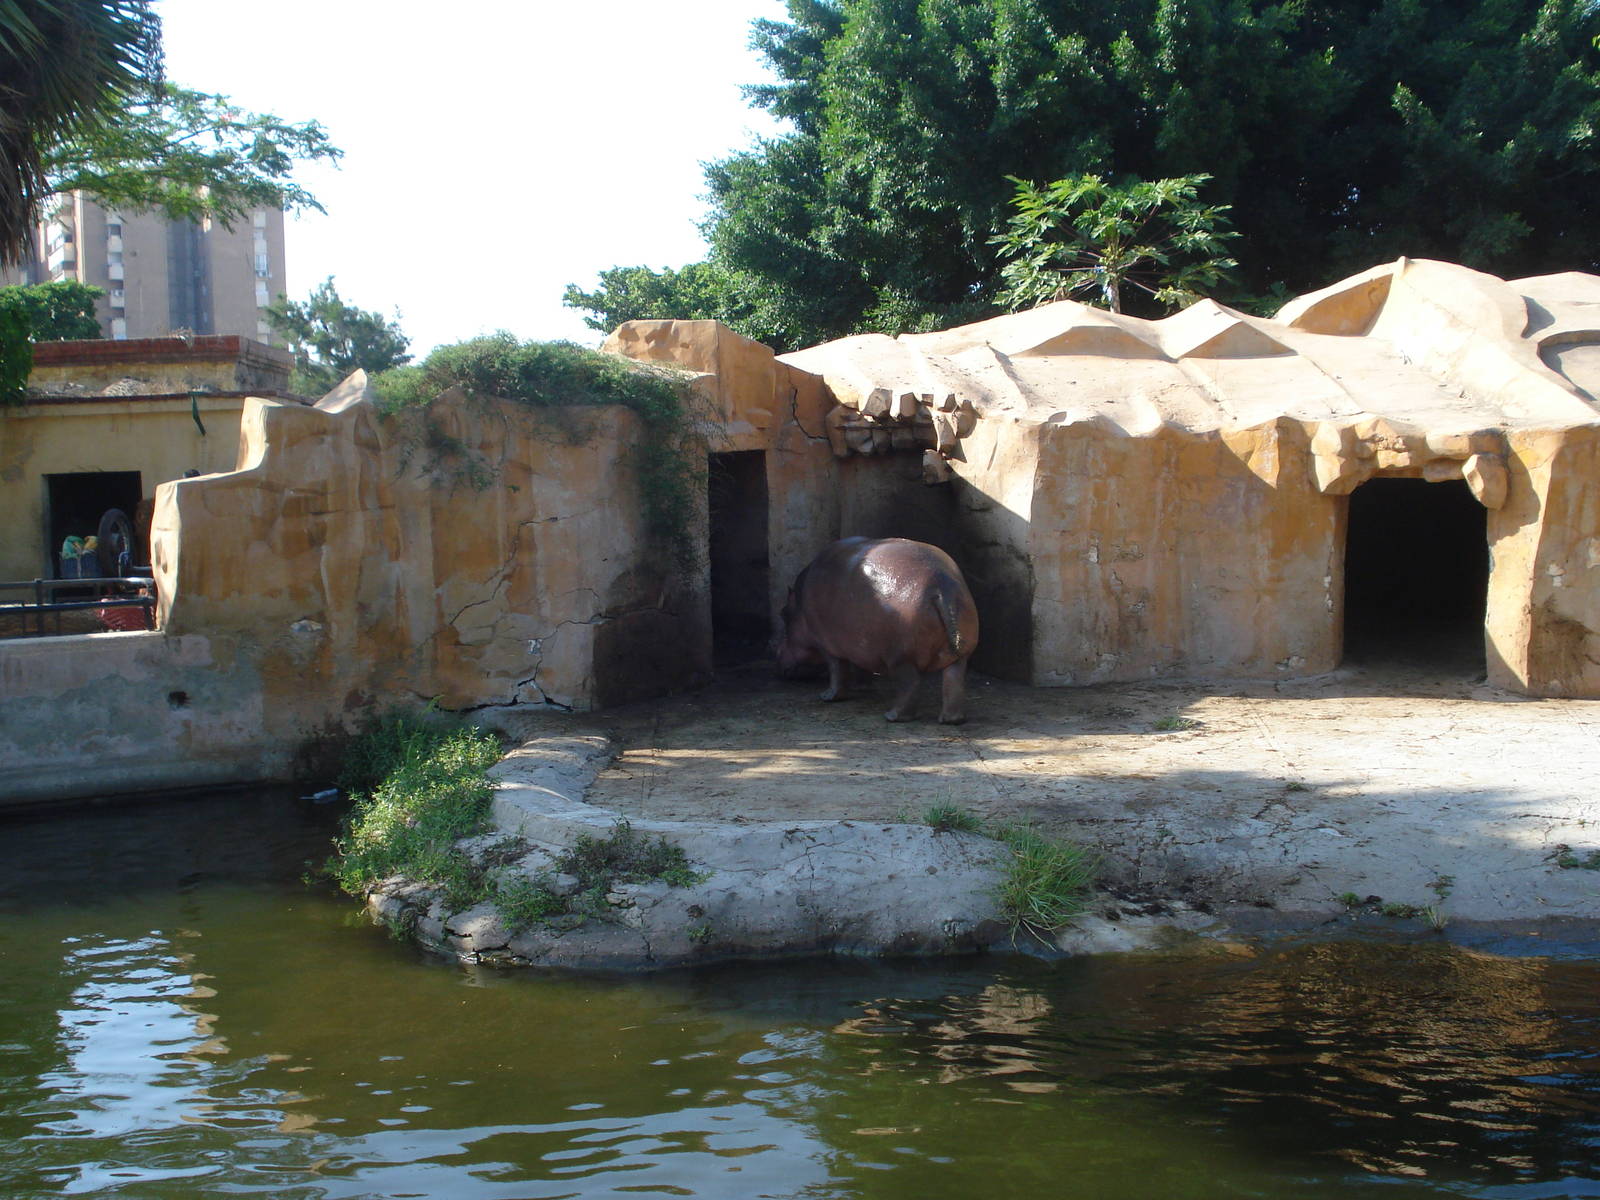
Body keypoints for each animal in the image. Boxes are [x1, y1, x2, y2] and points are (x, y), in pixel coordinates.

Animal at [777, 537, 980, 724]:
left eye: (783, 613)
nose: (773, 649)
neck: (799, 607)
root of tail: (941, 585)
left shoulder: (826, 645)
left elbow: (837, 670)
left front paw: (828, 696)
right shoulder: (859, 645)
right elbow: (860, 666)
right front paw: (862, 687)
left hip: (900, 658)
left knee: (911, 685)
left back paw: (892, 716)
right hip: (958, 656)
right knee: (954, 681)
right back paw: (951, 720)